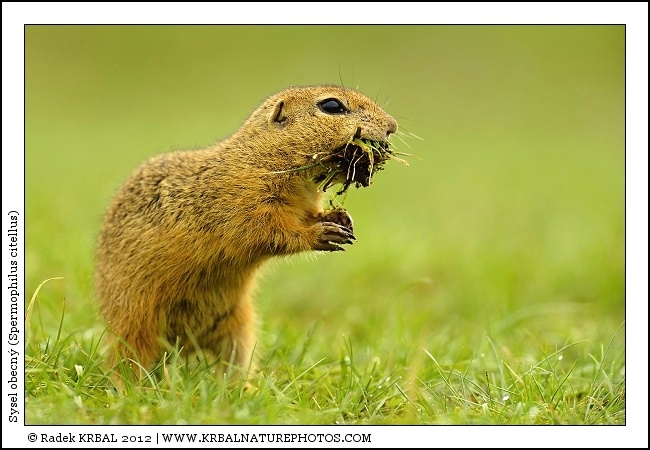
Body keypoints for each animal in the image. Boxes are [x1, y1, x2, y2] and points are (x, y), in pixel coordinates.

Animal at [95, 84, 398, 380]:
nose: (392, 126)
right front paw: (323, 233)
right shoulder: (247, 203)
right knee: (126, 362)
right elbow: (272, 234)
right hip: (134, 323)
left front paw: (340, 218)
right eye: (332, 106)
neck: (261, 159)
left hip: (240, 328)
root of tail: (183, 345)